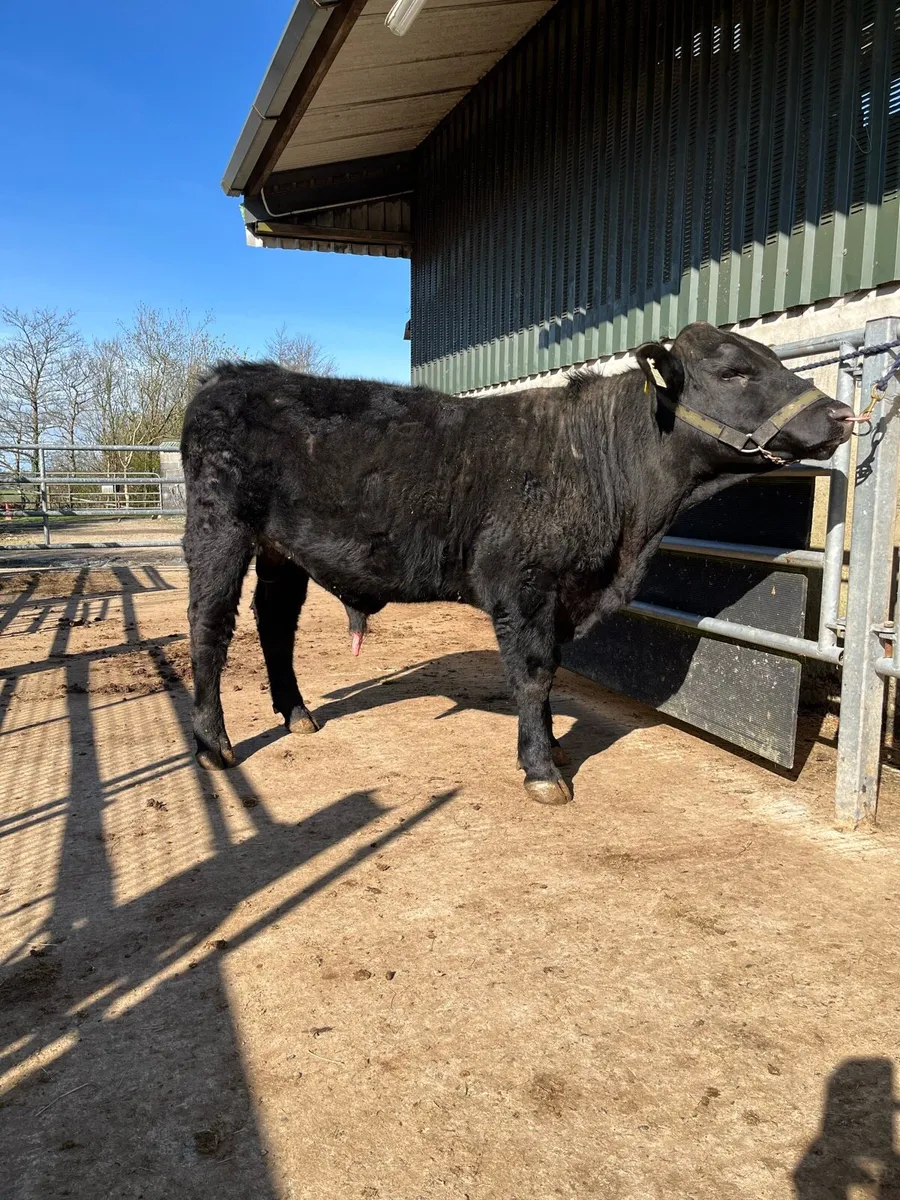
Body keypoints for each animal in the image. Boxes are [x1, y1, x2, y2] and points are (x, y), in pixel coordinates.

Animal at [181, 322, 856, 804]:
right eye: (734, 371)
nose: (842, 415)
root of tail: (225, 379)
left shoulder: (561, 596)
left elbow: (551, 672)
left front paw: (553, 748)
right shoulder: (525, 586)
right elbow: (533, 675)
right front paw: (541, 771)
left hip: (281, 552)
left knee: (274, 624)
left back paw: (297, 714)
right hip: (219, 528)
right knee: (210, 626)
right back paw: (214, 743)